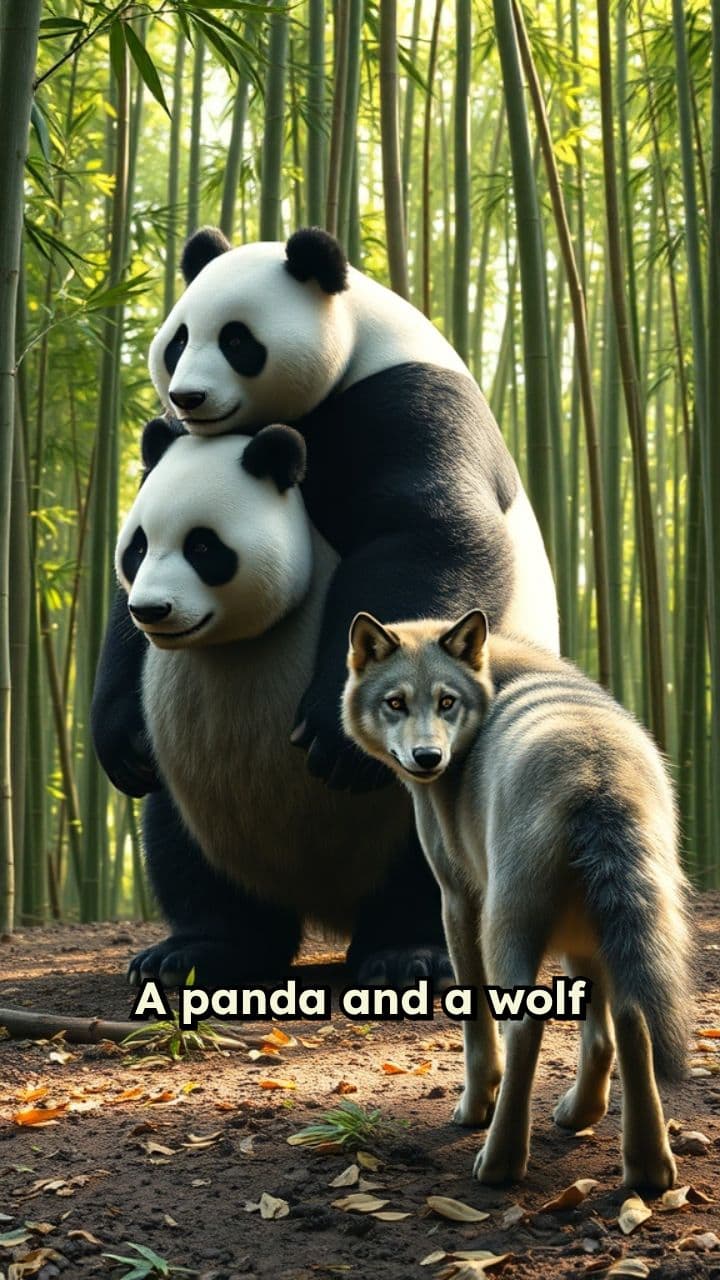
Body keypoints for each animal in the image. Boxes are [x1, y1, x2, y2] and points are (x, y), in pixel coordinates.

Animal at [93, 227, 559, 989]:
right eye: (177, 338)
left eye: (237, 340)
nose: (186, 397)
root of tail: (328, 903)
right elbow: (119, 623)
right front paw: (118, 739)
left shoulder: (404, 403)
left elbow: (430, 532)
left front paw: (330, 737)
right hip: (193, 787)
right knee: (184, 848)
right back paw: (198, 951)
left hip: (447, 763)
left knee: (427, 861)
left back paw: (409, 952)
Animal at [342, 609, 691, 1188]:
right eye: (395, 702)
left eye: (445, 702)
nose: (428, 757)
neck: (491, 687)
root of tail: (601, 779)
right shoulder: (581, 942)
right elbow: (599, 1038)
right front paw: (584, 1113)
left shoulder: (457, 900)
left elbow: (477, 1026)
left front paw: (475, 1104)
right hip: (623, 937)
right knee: (631, 1024)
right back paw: (643, 1163)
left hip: (506, 929)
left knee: (525, 1028)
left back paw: (500, 1160)